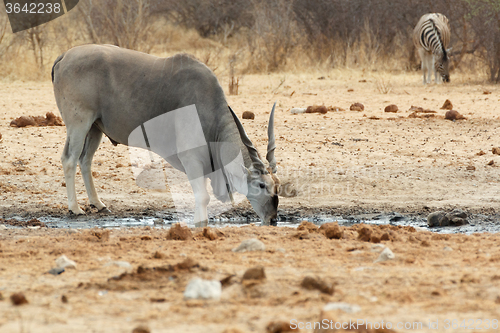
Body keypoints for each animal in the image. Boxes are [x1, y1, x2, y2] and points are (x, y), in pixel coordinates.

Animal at [52, 44, 280, 226]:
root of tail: (64, 56)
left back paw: (98, 204)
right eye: (261, 185)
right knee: (70, 159)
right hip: (79, 124)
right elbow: (203, 197)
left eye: (277, 185)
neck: (207, 108)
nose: (272, 219)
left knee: (85, 160)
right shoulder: (191, 160)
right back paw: (75, 208)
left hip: (95, 128)